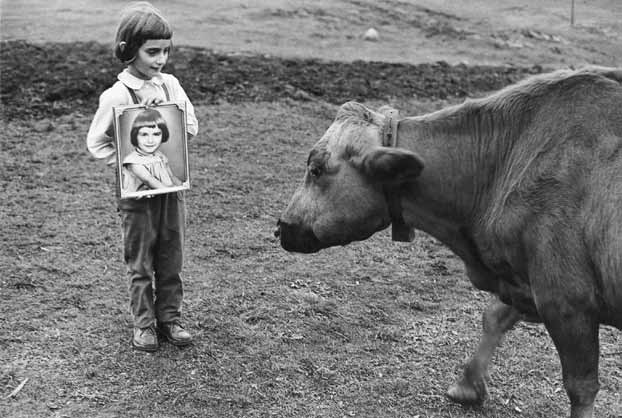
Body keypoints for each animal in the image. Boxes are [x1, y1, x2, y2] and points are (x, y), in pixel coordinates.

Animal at [278, 67, 622, 416]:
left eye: (316, 170)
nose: (282, 227)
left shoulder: (565, 300)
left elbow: (581, 388)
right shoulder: (525, 283)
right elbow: (494, 317)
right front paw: (467, 386)